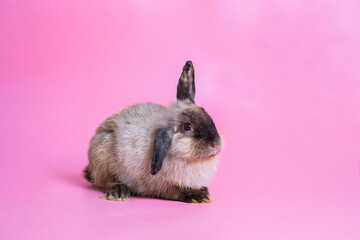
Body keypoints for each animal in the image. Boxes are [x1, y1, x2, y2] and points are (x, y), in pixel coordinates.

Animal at [83, 60, 222, 202]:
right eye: (187, 126)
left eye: (207, 115)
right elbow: (174, 191)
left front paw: (202, 190)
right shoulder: (160, 186)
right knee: (104, 181)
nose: (215, 143)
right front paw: (197, 196)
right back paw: (118, 192)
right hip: (101, 156)